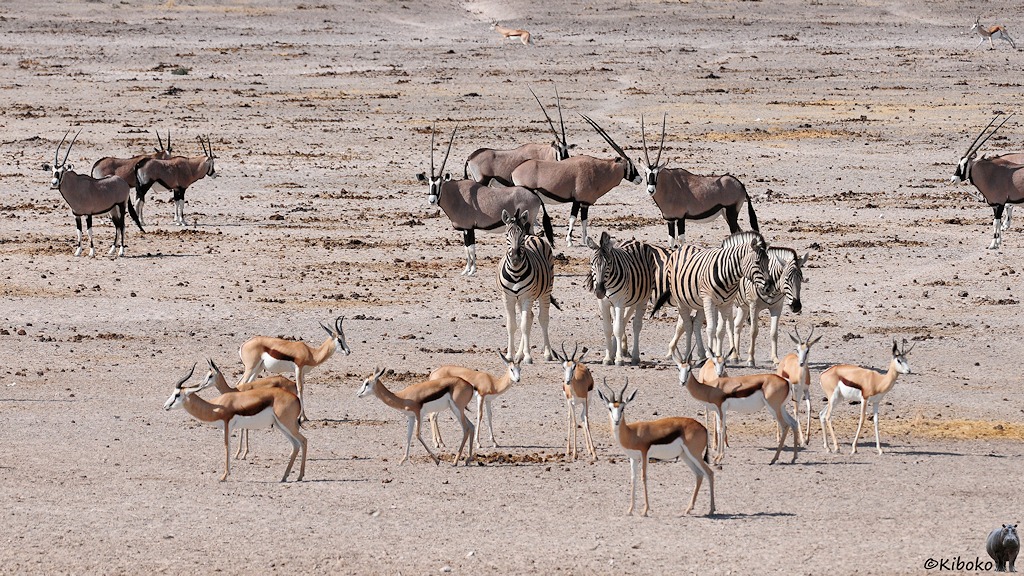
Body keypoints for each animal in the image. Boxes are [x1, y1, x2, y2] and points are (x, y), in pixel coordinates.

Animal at [497, 208, 560, 364]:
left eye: (521, 235)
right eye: (507, 234)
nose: (515, 259)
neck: (515, 273)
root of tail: (533, 236)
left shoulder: (527, 297)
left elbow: (524, 326)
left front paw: (528, 356)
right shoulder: (508, 298)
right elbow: (512, 325)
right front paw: (510, 355)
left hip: (545, 292)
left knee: (542, 319)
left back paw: (547, 353)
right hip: (520, 299)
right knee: (530, 317)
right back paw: (519, 354)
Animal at [584, 232, 658, 365]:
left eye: (608, 264)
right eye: (592, 264)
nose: (599, 292)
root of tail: (635, 241)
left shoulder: (619, 302)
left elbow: (617, 329)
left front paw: (619, 359)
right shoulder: (603, 303)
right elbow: (608, 329)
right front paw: (608, 357)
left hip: (642, 299)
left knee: (636, 325)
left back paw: (635, 356)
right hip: (629, 299)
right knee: (621, 321)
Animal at [651, 232, 775, 362]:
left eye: (768, 262)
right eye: (757, 262)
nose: (770, 288)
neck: (728, 275)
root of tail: (683, 247)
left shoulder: (726, 303)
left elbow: (721, 330)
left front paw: (718, 355)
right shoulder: (709, 301)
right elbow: (711, 329)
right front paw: (711, 354)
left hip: (698, 303)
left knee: (694, 324)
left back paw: (699, 354)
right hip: (683, 301)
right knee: (687, 325)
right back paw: (687, 355)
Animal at [721, 231, 808, 367]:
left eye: (801, 278)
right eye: (787, 278)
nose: (796, 306)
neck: (774, 289)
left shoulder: (777, 308)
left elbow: (774, 333)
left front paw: (775, 359)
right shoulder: (754, 307)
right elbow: (753, 331)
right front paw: (751, 359)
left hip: (743, 306)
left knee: (737, 325)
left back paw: (737, 355)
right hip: (729, 304)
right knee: (730, 326)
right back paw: (734, 354)